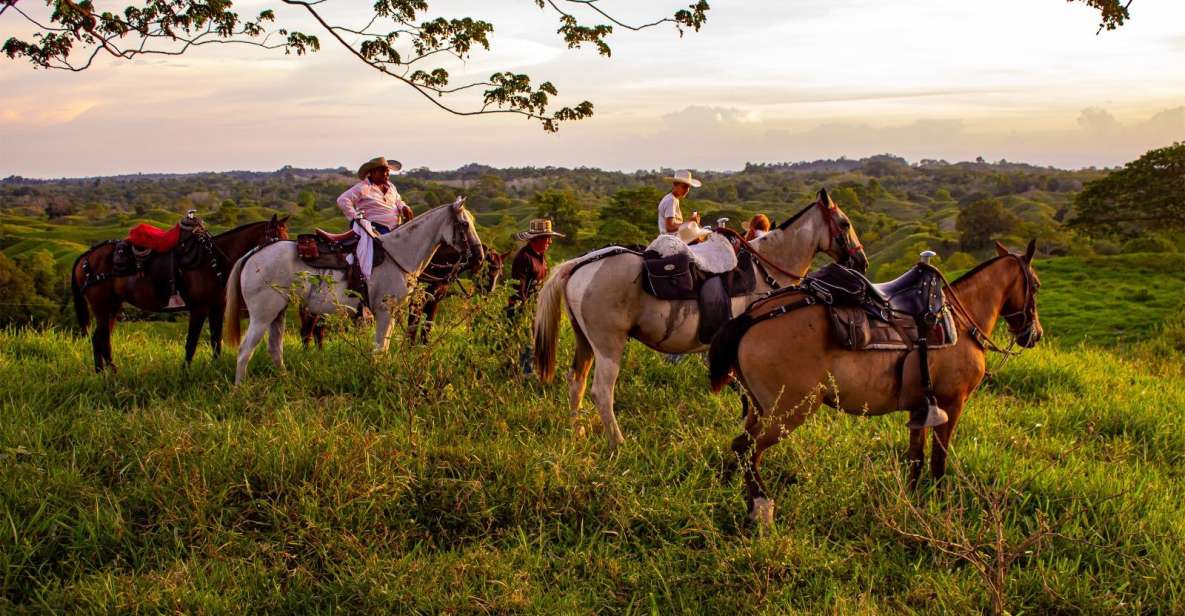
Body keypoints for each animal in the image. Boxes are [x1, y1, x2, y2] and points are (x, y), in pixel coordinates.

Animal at [71, 214, 289, 371]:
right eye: (277, 240)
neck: (214, 260)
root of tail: (86, 256)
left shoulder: (217, 307)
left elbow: (215, 340)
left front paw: (216, 367)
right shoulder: (199, 309)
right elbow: (191, 343)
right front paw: (185, 372)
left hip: (113, 306)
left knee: (101, 338)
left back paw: (108, 371)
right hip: (102, 306)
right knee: (100, 339)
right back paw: (106, 373)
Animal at [222, 200, 481, 381]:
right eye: (464, 224)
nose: (479, 257)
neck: (398, 254)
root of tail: (253, 253)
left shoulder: (392, 313)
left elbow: (384, 348)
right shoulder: (384, 311)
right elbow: (379, 349)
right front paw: (378, 378)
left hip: (278, 312)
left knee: (275, 349)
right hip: (262, 315)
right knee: (245, 351)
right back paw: (239, 390)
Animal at [537, 188, 872, 447]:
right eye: (845, 223)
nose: (861, 261)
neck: (767, 267)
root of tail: (580, 263)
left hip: (585, 342)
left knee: (576, 382)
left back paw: (577, 432)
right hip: (608, 346)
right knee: (602, 392)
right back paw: (617, 443)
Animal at [706, 239, 1042, 523]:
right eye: (1036, 286)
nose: (1034, 335)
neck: (959, 320)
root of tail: (752, 316)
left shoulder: (921, 407)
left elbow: (916, 458)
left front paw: (911, 501)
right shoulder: (952, 404)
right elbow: (938, 461)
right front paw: (938, 504)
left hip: (761, 409)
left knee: (743, 449)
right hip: (789, 412)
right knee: (746, 448)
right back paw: (761, 508)